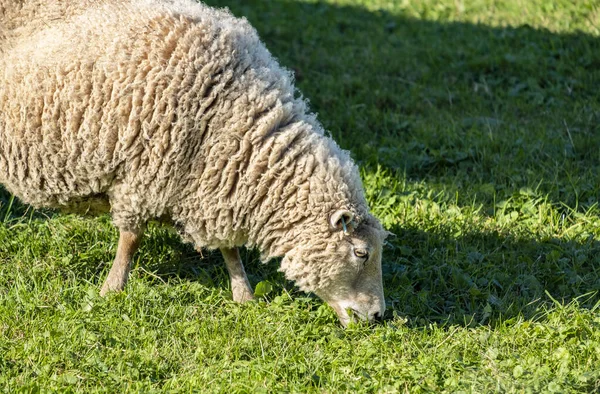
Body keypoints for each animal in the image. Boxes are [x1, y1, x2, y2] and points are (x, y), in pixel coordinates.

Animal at [0, 0, 386, 326]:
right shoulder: (142, 178)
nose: (378, 315)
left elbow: (229, 248)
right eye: (361, 253)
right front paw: (112, 289)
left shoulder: (216, 185)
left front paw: (244, 295)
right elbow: (130, 240)